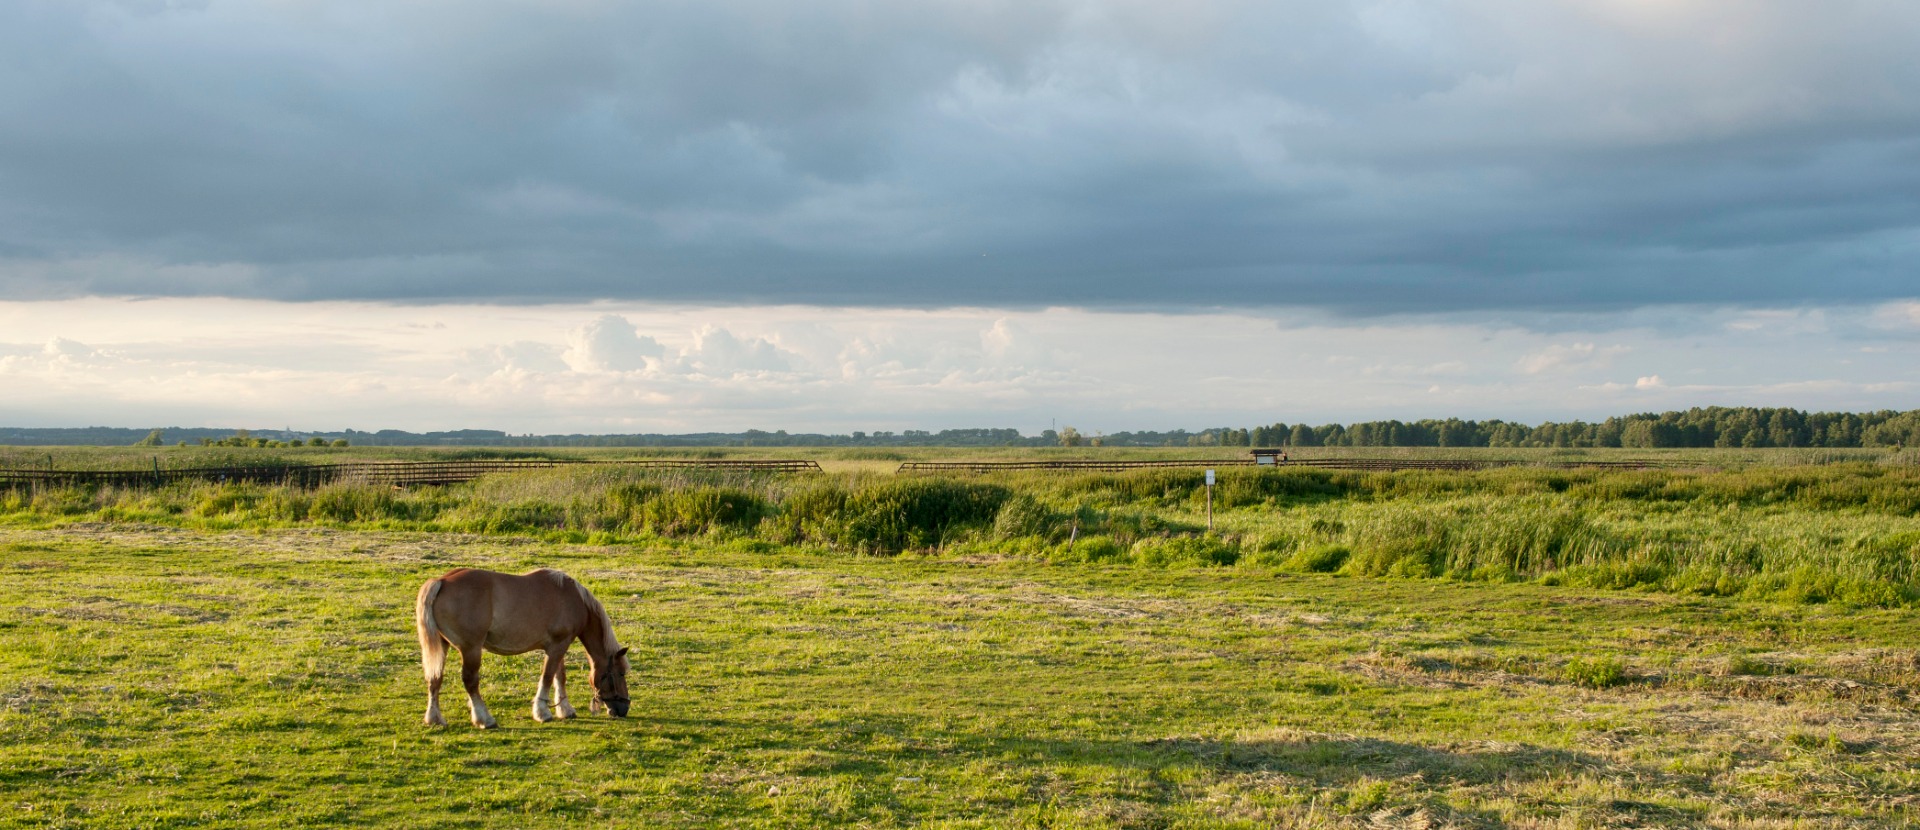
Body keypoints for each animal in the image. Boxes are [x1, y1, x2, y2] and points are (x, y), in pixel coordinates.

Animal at [415, 568, 631, 728]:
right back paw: (485, 719)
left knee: (434, 679)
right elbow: (547, 677)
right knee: (470, 682)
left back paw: (434, 718)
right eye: (621, 673)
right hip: (471, 649)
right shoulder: (557, 647)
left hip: (442, 647)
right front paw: (542, 712)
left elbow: (559, 676)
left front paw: (565, 710)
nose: (624, 709)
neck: (574, 600)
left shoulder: (558, 646)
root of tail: (441, 580)